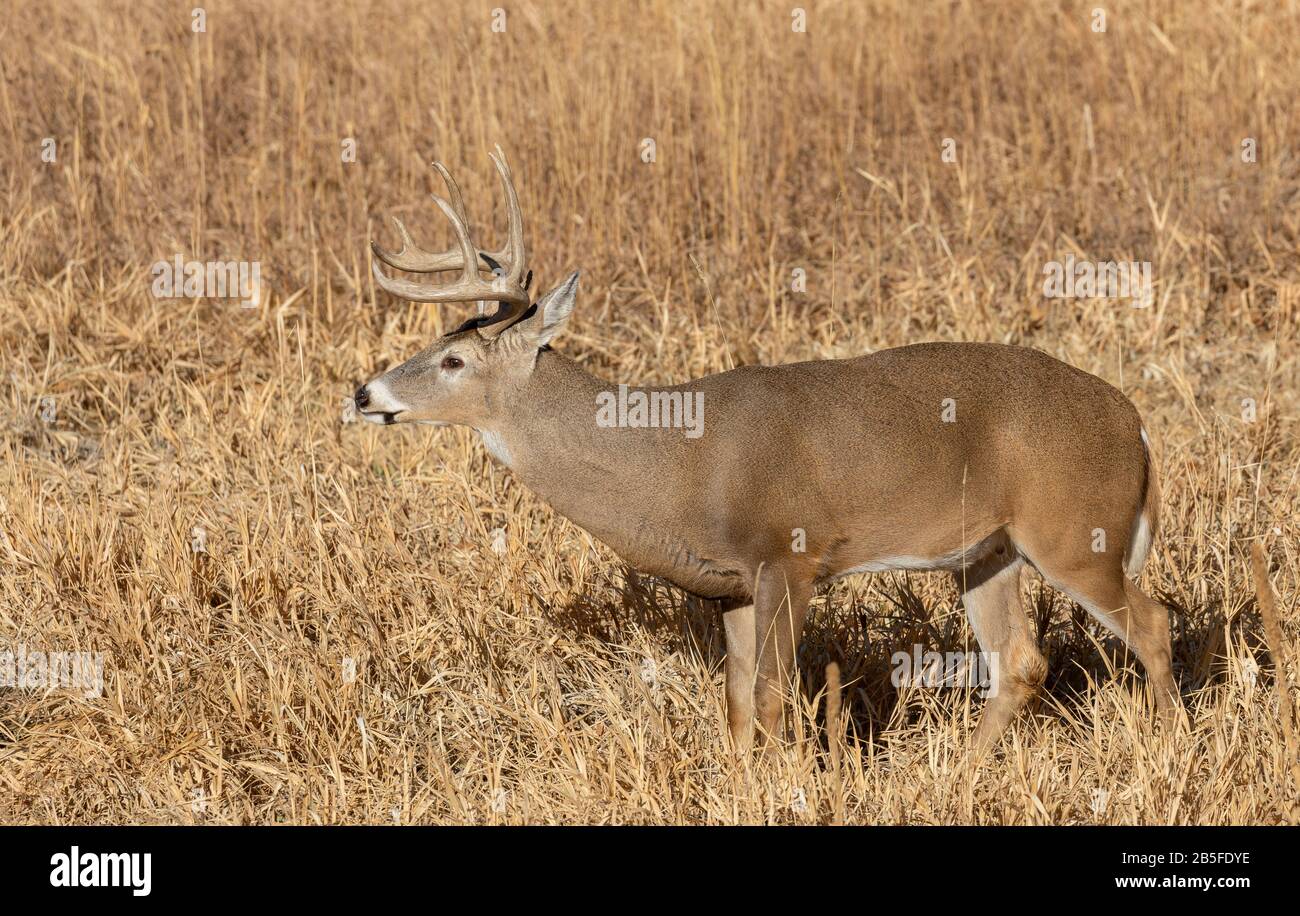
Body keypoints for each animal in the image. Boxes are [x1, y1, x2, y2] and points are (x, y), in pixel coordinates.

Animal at [355, 149, 1182, 759]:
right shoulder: (731, 585)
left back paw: (1169, 745)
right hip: (990, 550)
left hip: (1074, 529)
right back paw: (966, 775)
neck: (674, 462)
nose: (364, 392)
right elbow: (734, 705)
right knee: (1021, 661)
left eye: (455, 360)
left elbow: (773, 697)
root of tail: (1134, 423)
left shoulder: (790, 551)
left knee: (1152, 622)